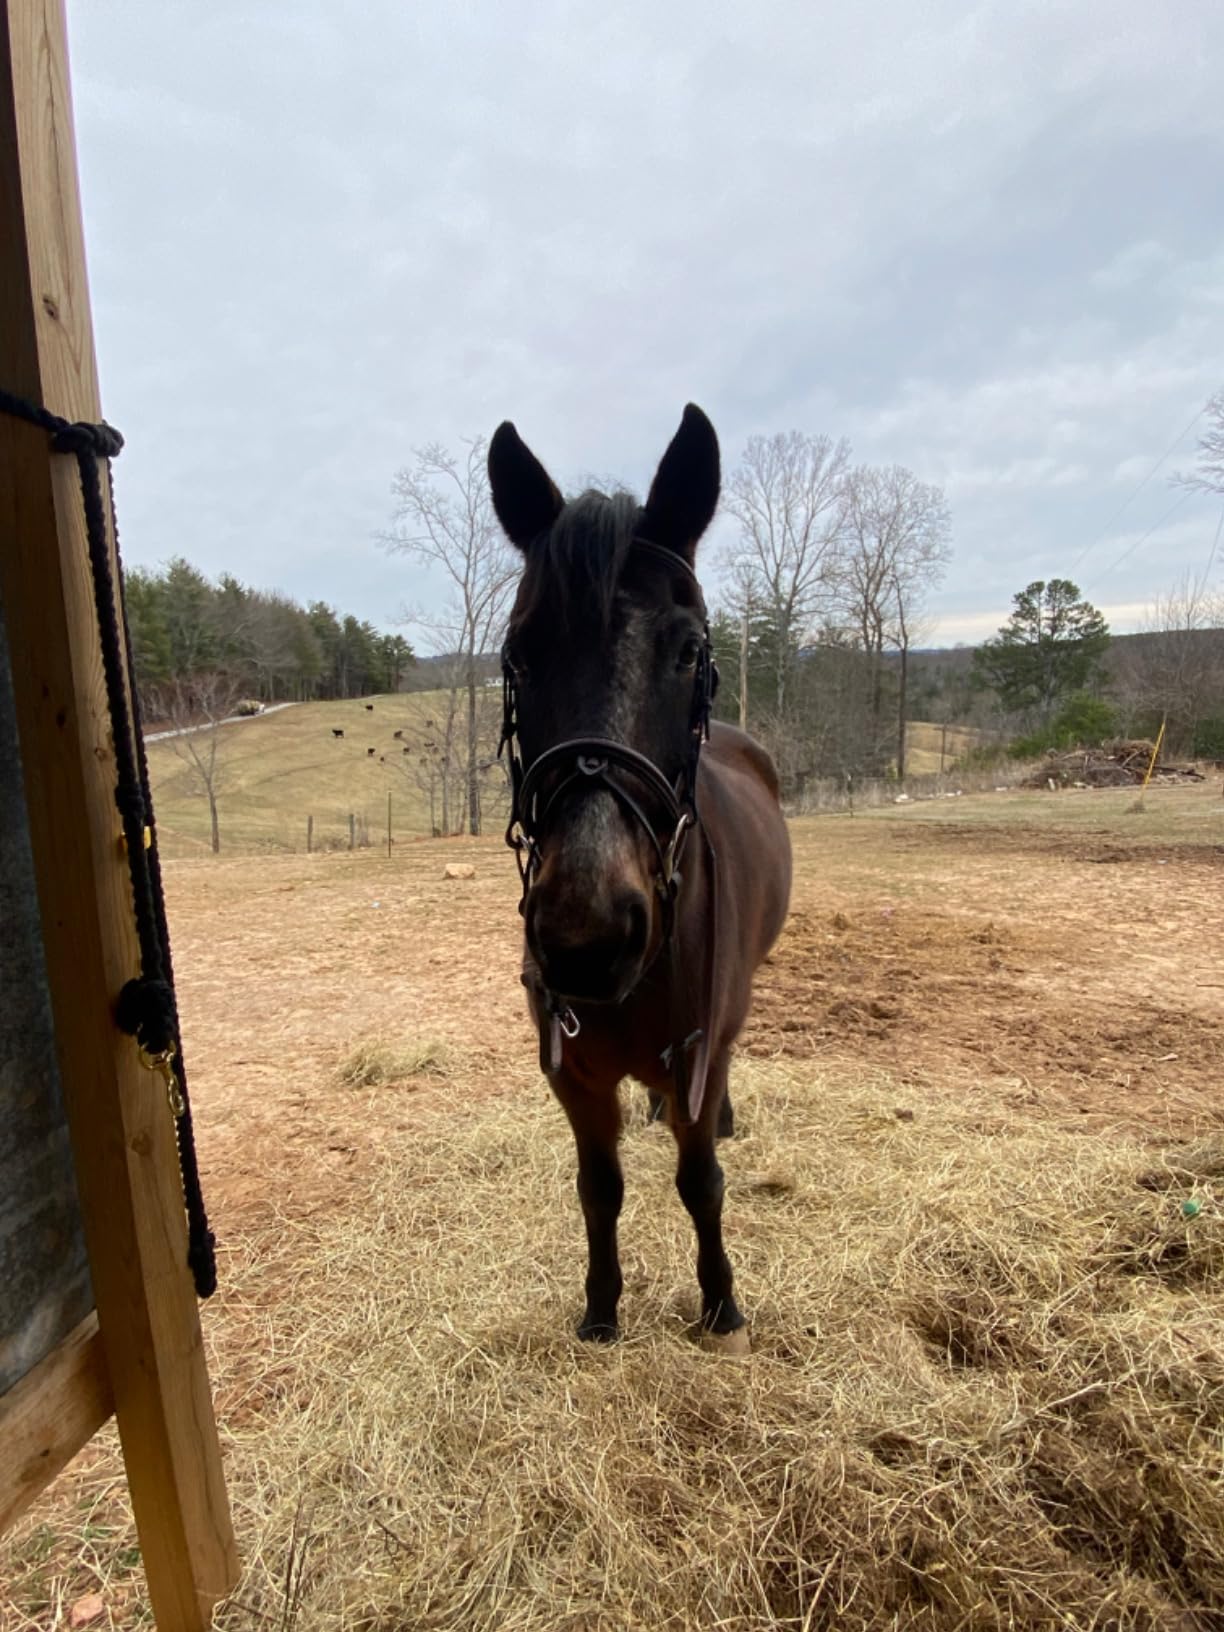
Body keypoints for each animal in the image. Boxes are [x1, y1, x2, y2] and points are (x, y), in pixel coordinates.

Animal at [488, 404, 792, 1351]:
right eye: (520, 655)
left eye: (688, 650)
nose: (586, 934)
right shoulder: (575, 1077)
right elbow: (600, 1189)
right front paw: (601, 1307)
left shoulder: (701, 1048)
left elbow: (702, 1184)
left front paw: (721, 1305)